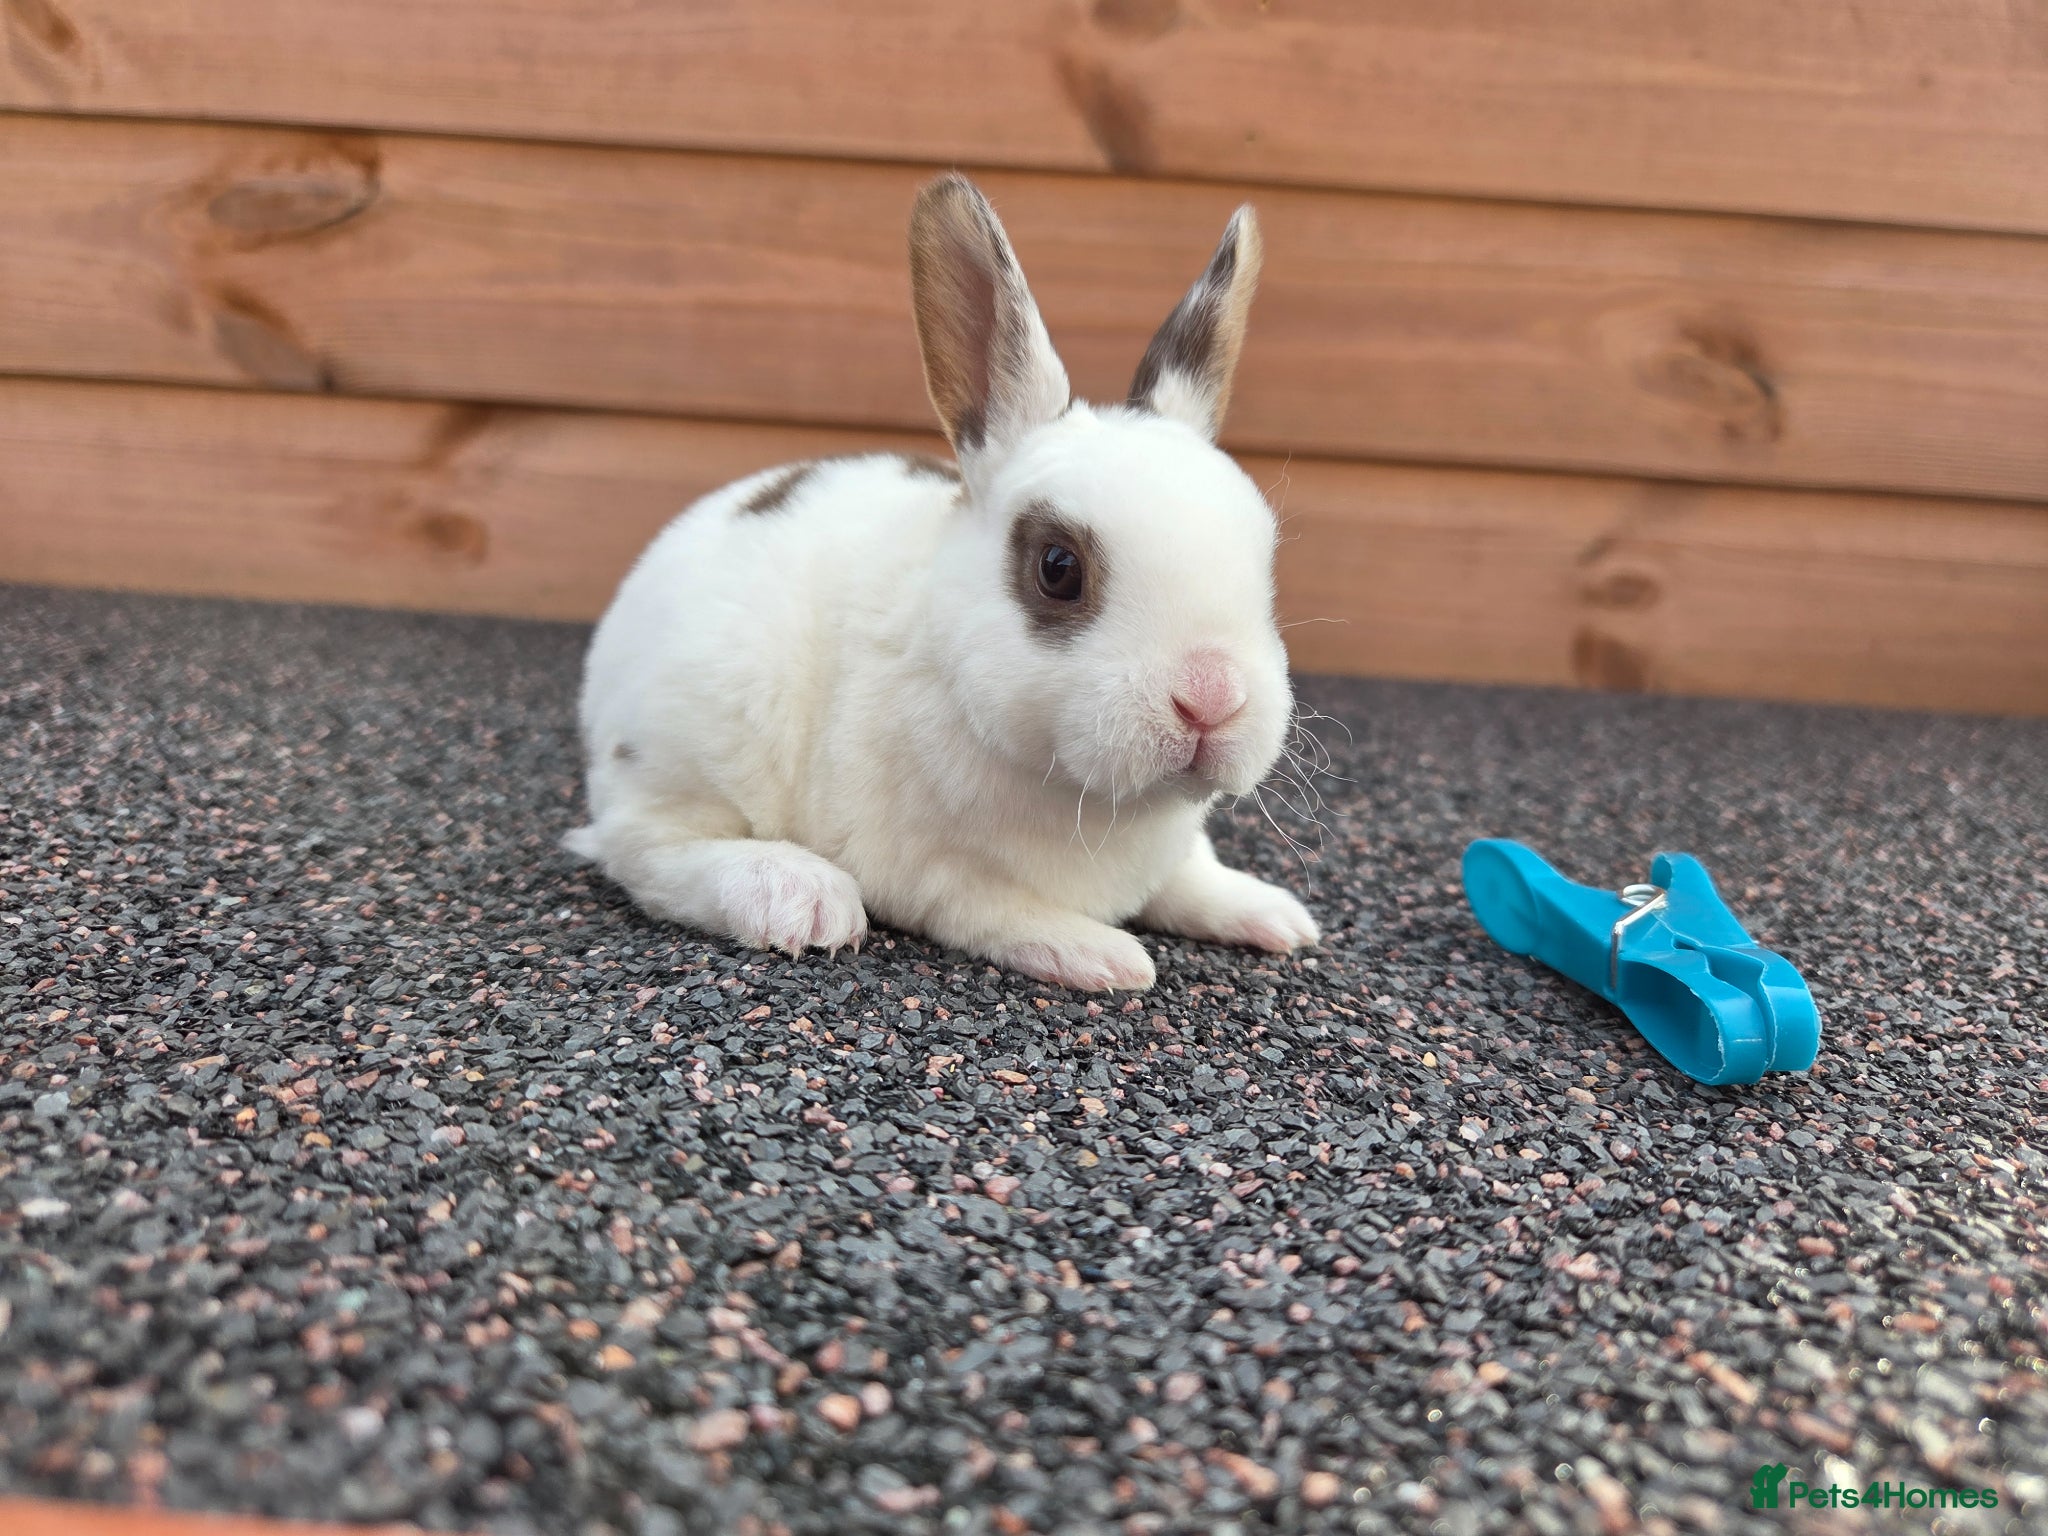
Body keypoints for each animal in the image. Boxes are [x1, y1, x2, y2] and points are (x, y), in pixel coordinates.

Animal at [566, 173, 1317, 991]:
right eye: (1058, 568)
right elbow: (996, 912)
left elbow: (1192, 876)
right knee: (643, 848)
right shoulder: (930, 870)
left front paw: (1274, 915)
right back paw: (799, 898)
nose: (1212, 700)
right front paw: (1103, 956)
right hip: (696, 732)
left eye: (1265, 558)